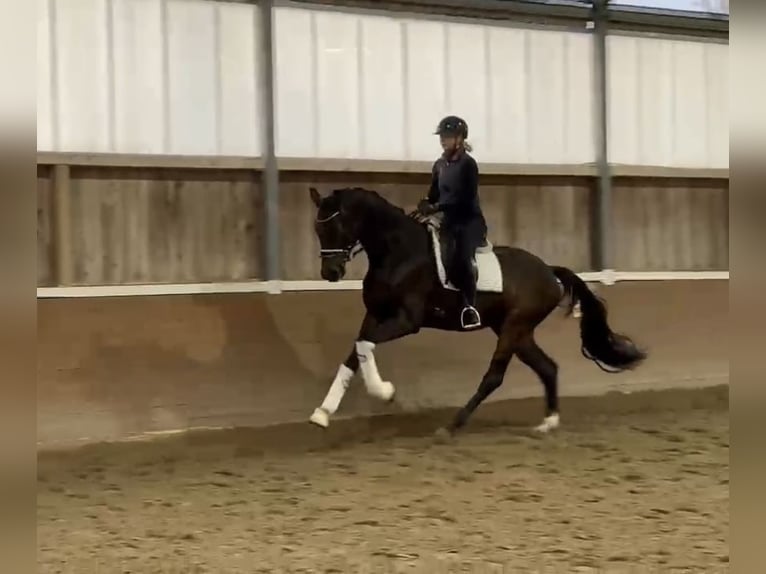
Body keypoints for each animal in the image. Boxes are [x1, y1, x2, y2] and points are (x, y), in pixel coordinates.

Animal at [306, 187, 648, 434]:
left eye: (337, 225)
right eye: (318, 230)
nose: (330, 273)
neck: (398, 252)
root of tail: (549, 272)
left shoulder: (406, 320)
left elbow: (364, 346)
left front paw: (385, 391)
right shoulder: (375, 315)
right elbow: (356, 351)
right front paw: (322, 413)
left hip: (513, 328)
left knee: (494, 377)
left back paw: (453, 425)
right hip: (516, 330)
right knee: (547, 367)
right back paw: (548, 423)